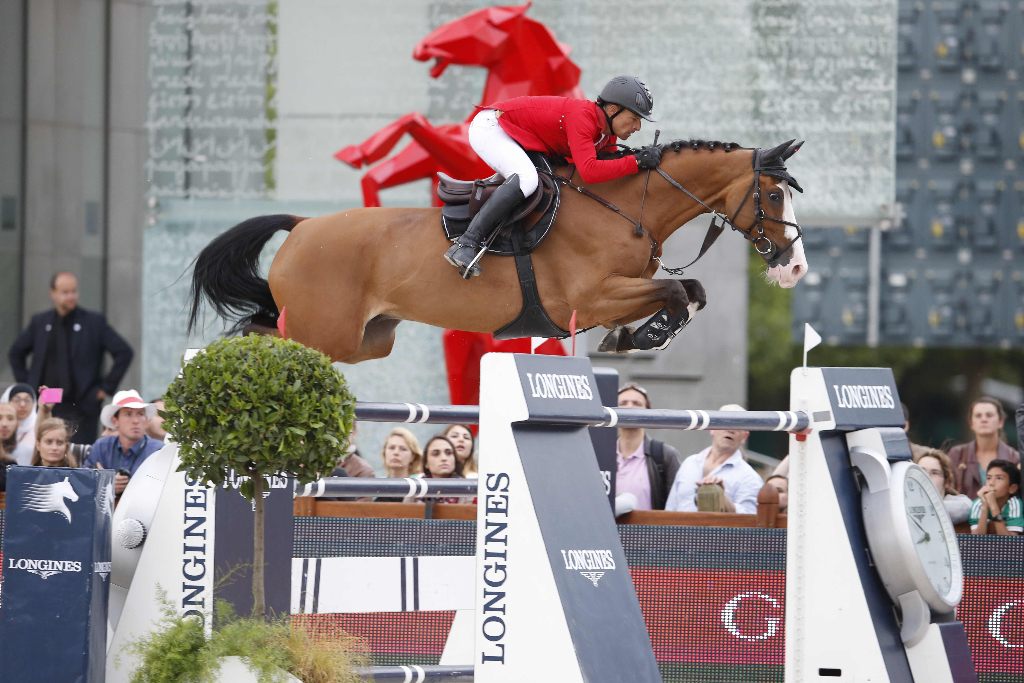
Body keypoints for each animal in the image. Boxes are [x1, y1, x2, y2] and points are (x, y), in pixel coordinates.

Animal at [186, 138, 806, 362]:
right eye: (774, 194)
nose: (796, 267)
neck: (625, 208)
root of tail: (303, 225)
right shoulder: (594, 297)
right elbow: (678, 289)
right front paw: (645, 336)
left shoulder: (616, 295)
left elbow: (689, 290)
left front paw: (636, 337)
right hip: (325, 334)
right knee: (265, 338)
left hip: (366, 340)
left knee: (259, 330)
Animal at [333, 2, 581, 206]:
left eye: (482, 21)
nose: (421, 48)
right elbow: (412, 122)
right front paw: (354, 154)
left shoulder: (463, 159)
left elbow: (414, 119)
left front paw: (355, 155)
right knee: (375, 177)